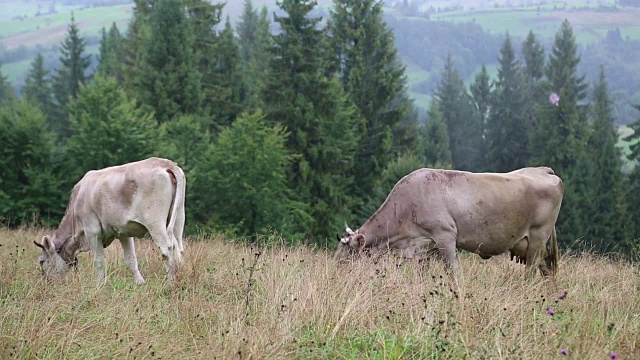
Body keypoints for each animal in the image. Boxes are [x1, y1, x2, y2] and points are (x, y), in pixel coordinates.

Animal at [33, 157, 185, 284]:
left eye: (41, 261)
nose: (45, 282)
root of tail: (165, 163)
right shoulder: (124, 232)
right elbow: (131, 260)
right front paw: (140, 283)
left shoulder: (92, 232)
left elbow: (99, 260)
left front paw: (99, 285)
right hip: (178, 219)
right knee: (179, 249)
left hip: (155, 224)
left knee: (167, 250)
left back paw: (169, 283)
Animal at [338, 167, 564, 278]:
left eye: (347, 255)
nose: (337, 275)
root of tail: (543, 170)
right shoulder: (424, 248)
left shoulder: (445, 236)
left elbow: (453, 273)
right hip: (530, 246)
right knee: (546, 273)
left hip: (538, 236)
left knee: (531, 273)